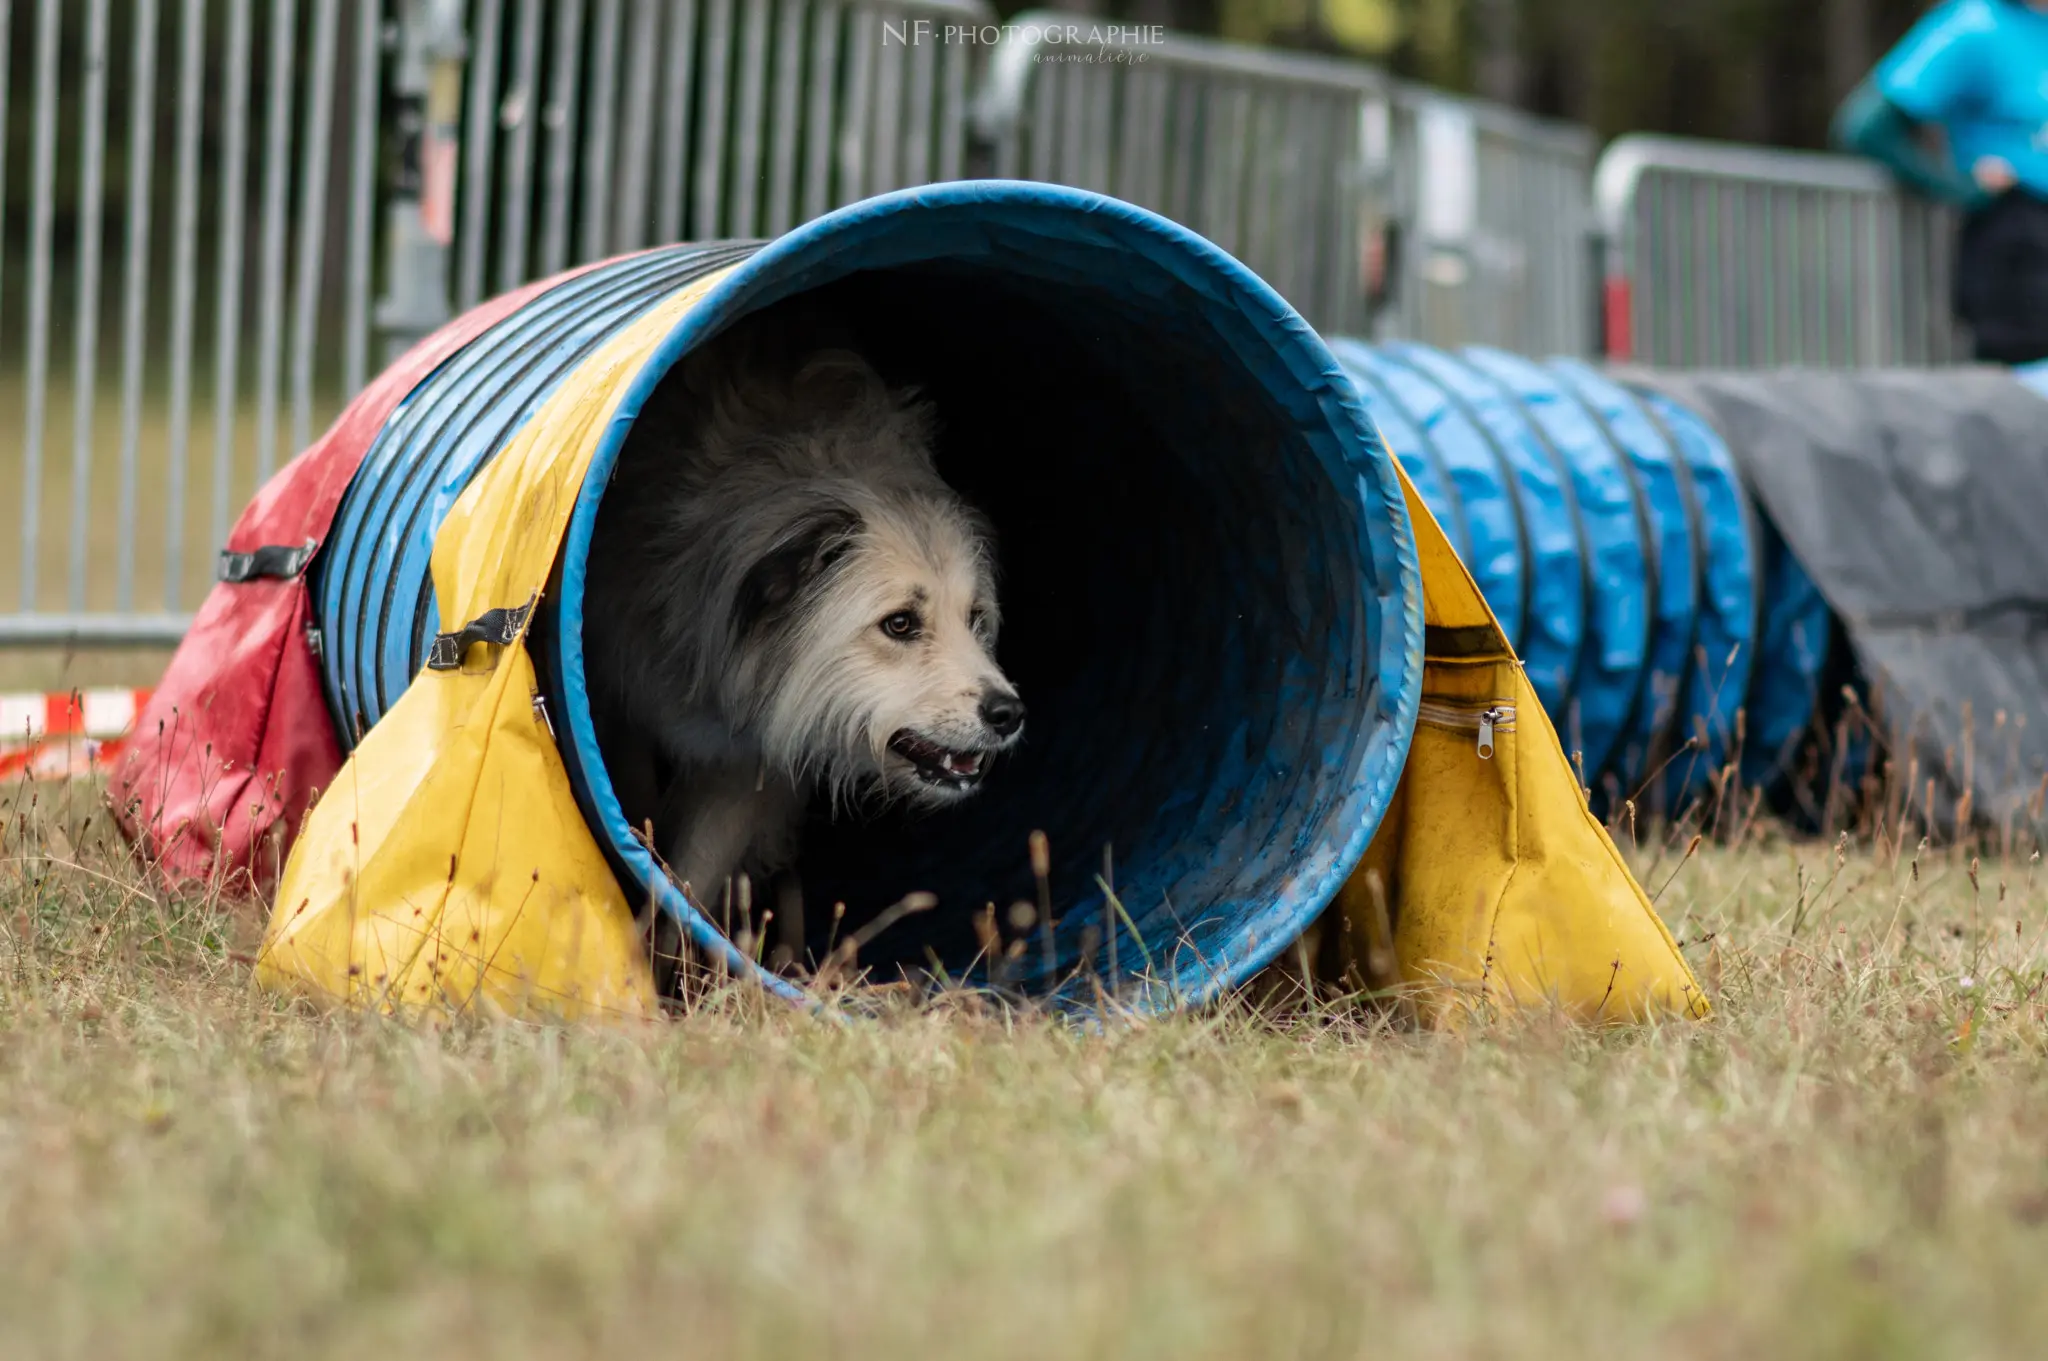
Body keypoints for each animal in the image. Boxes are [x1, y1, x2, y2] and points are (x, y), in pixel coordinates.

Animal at [581, 311, 1024, 982]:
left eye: (975, 619)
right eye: (899, 624)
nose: (1009, 714)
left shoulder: (744, 761)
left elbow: (692, 875)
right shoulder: (615, 699)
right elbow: (642, 820)